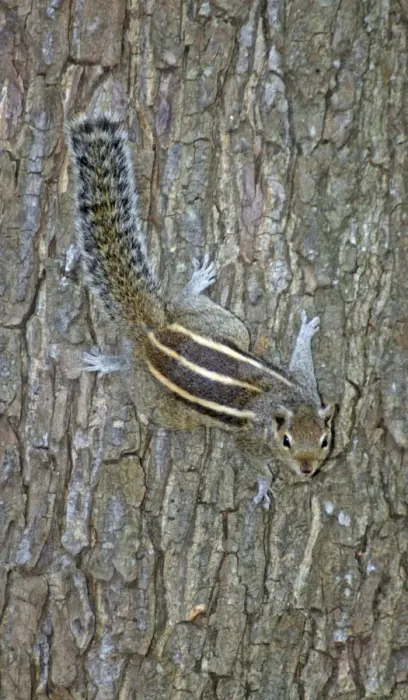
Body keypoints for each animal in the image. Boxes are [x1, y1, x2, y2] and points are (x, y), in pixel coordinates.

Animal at [66, 114, 335, 508]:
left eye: (324, 439)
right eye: (286, 442)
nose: (307, 470)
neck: (282, 404)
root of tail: (155, 336)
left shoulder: (307, 389)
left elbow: (303, 364)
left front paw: (305, 332)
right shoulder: (248, 439)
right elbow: (253, 460)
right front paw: (264, 486)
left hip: (225, 327)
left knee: (185, 307)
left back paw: (195, 285)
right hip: (166, 405)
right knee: (133, 369)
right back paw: (110, 361)